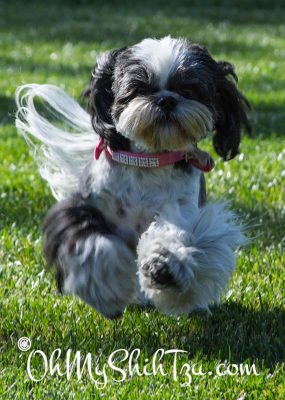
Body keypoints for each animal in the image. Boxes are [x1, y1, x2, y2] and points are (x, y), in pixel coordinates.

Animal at [16, 36, 250, 320]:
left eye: (190, 90)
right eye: (139, 89)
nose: (167, 100)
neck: (148, 162)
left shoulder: (186, 212)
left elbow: (178, 235)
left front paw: (164, 264)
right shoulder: (82, 209)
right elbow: (93, 246)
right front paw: (108, 291)